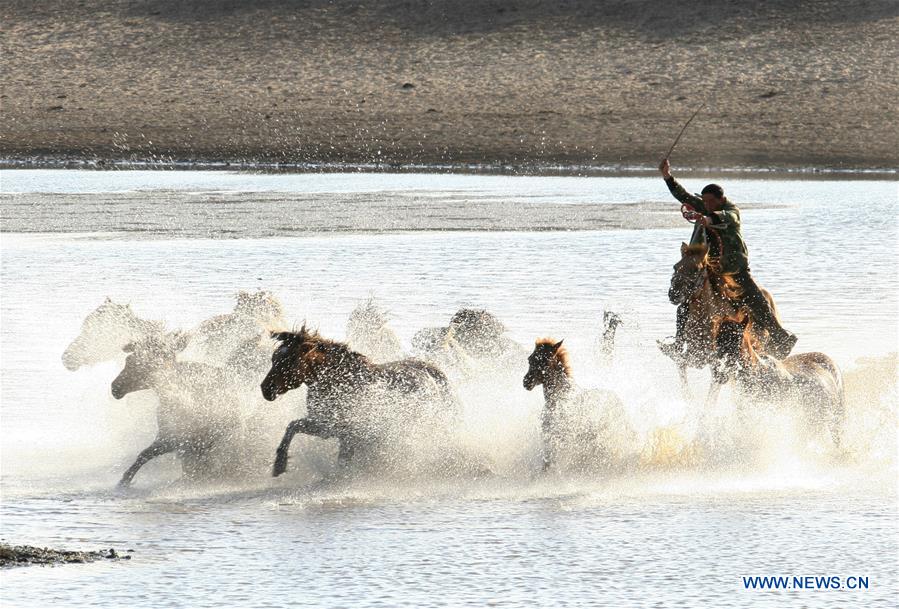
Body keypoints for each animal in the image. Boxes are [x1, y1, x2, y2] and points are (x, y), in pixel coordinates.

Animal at [260, 326, 458, 478]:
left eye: (288, 361)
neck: (338, 381)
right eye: (274, 358)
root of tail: (432, 372)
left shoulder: (339, 429)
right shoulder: (326, 426)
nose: (265, 389)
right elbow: (292, 427)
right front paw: (279, 465)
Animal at [660, 240, 780, 402]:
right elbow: (683, 376)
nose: (673, 293)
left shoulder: (717, 364)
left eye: (696, 269)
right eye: (676, 266)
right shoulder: (688, 357)